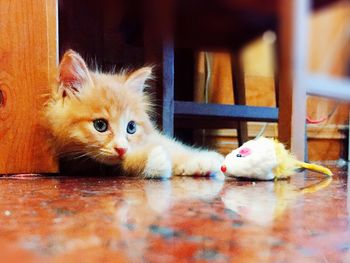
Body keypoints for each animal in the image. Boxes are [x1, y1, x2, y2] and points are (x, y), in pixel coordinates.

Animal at [44, 50, 224, 178]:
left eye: (131, 127)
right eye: (100, 125)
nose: (122, 149)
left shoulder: (156, 137)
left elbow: (175, 146)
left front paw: (203, 160)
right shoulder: (80, 162)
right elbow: (123, 163)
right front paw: (153, 161)